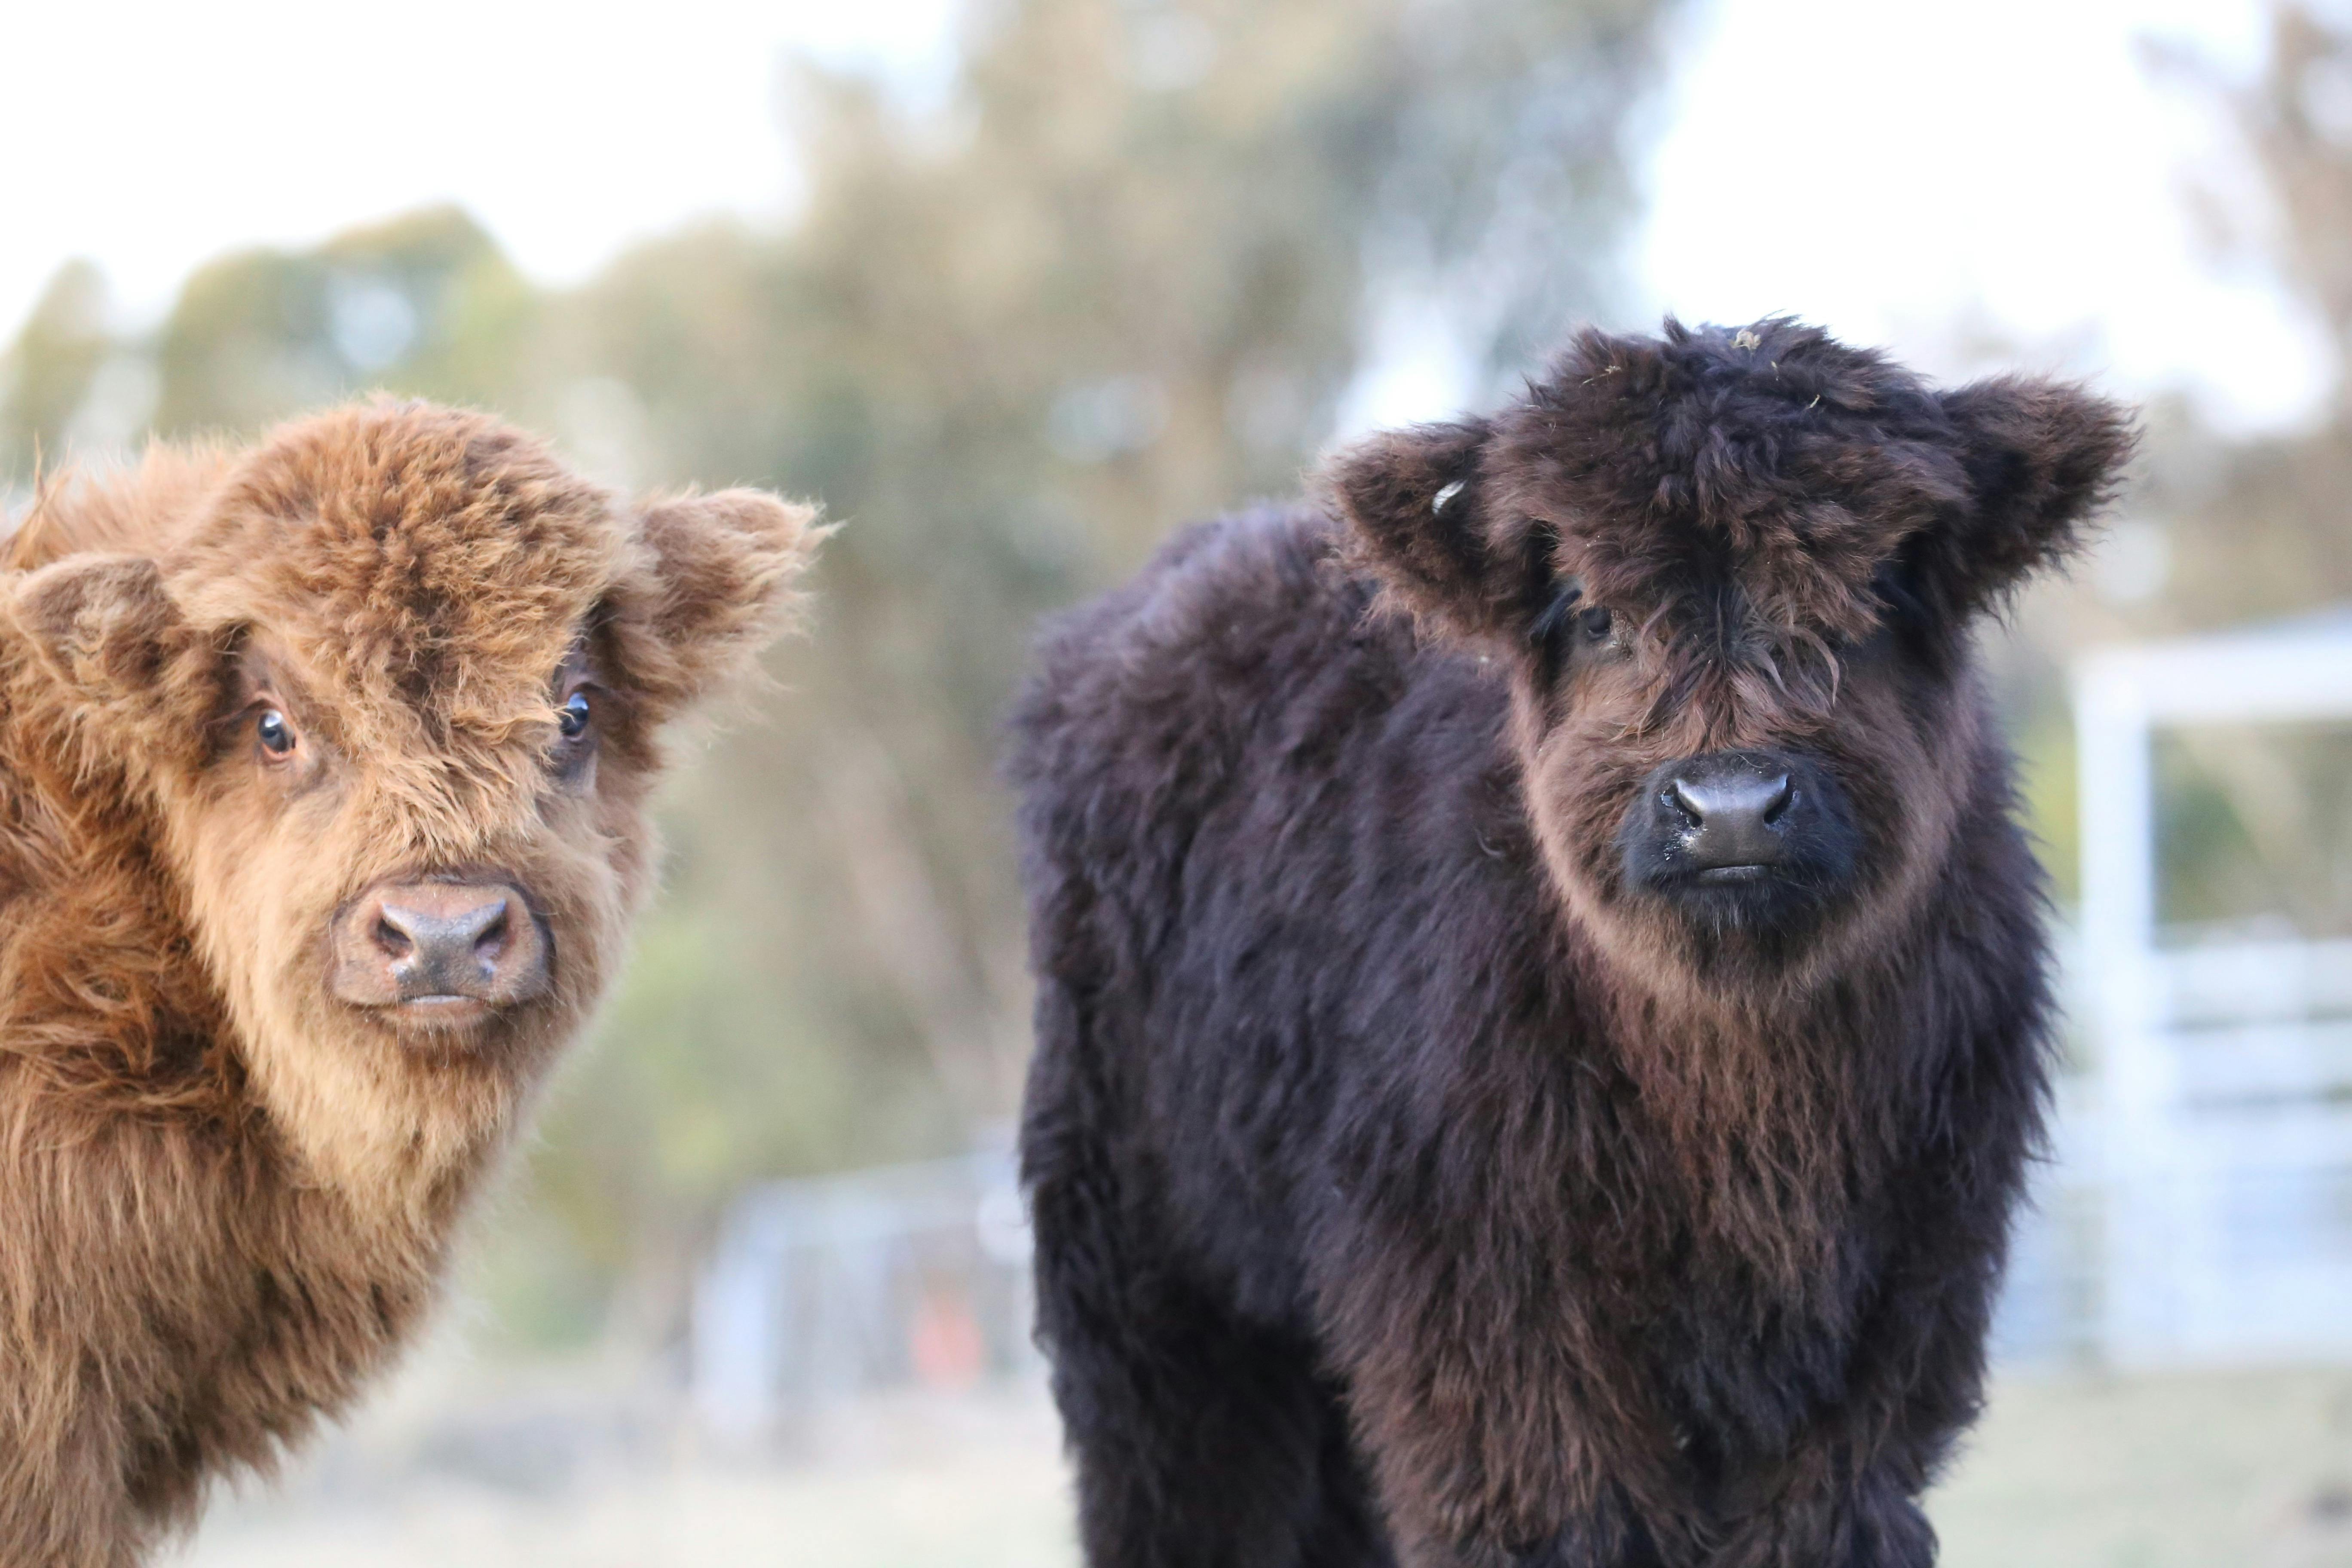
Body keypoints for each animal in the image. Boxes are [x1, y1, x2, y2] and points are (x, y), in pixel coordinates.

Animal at [1010, 319, 2133, 1567]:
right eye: (1595, 612)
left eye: (1874, 590)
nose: (1730, 807)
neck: (1748, 1114)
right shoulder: (1485, 1331)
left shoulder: (1891, 1328)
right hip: (1151, 1286)